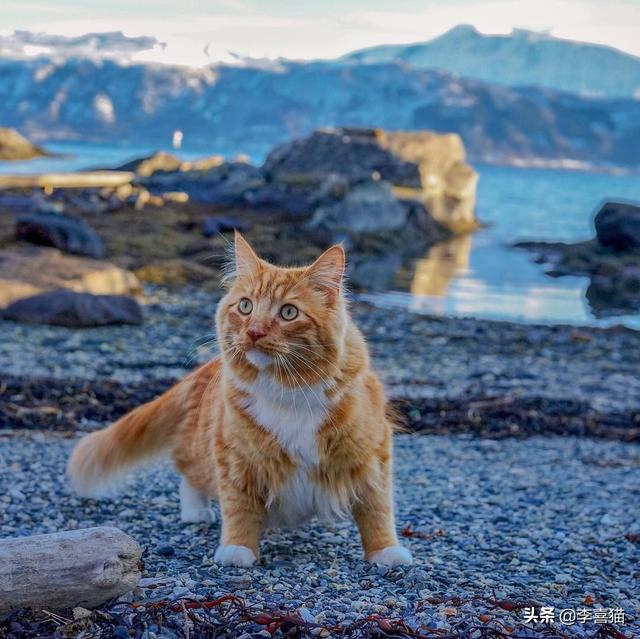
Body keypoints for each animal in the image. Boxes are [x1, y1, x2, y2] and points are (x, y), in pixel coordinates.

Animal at [66, 232, 416, 568]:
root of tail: (205, 369)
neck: (289, 389)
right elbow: (239, 507)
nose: (254, 332)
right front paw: (238, 550)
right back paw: (195, 511)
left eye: (288, 312)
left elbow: (377, 509)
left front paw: (386, 551)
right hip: (201, 451)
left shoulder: (373, 454)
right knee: (186, 469)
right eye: (245, 307)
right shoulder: (234, 455)